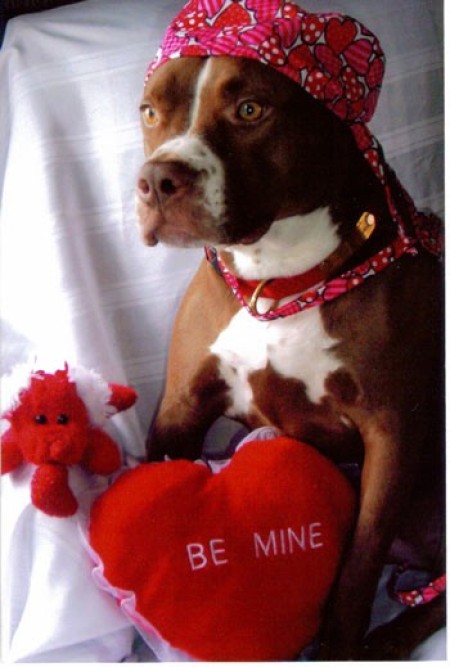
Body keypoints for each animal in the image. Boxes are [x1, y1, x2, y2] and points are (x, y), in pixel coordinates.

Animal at [135, 54, 444, 660]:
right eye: (150, 111)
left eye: (250, 109)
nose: (157, 180)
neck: (279, 281)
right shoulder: (181, 407)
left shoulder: (392, 433)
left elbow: (359, 563)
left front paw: (340, 648)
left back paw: (390, 637)